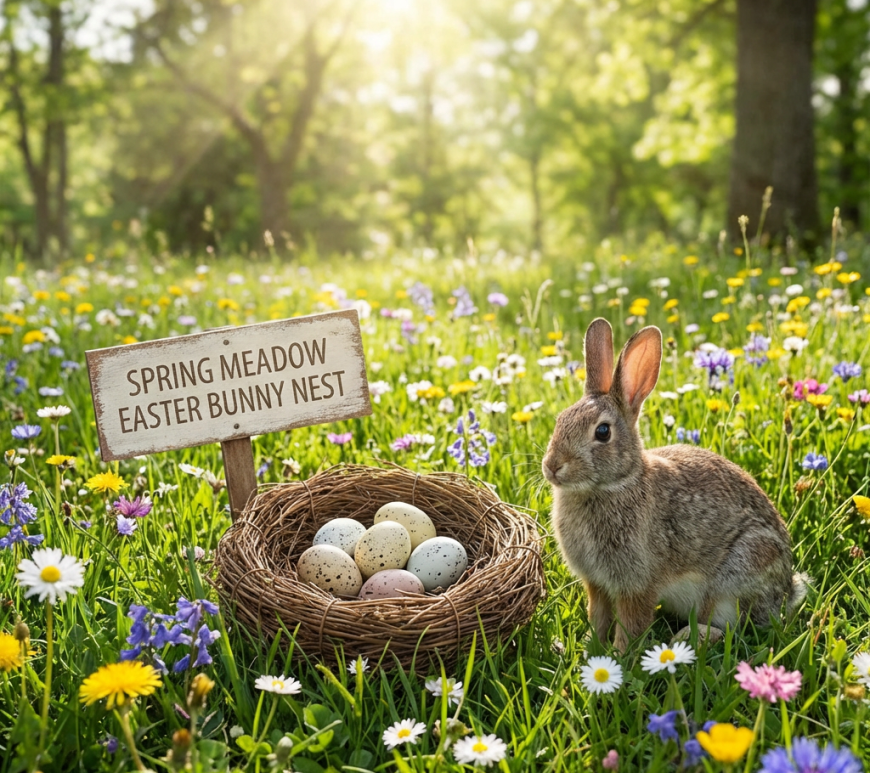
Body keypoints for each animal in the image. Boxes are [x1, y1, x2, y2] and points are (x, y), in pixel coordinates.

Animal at [542, 317, 807, 652]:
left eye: (602, 432)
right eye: (559, 420)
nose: (552, 466)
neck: (611, 486)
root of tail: (787, 591)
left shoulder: (637, 584)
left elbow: (631, 625)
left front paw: (619, 656)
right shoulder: (597, 584)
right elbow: (598, 617)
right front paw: (588, 648)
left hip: (739, 575)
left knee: (736, 628)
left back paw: (689, 638)